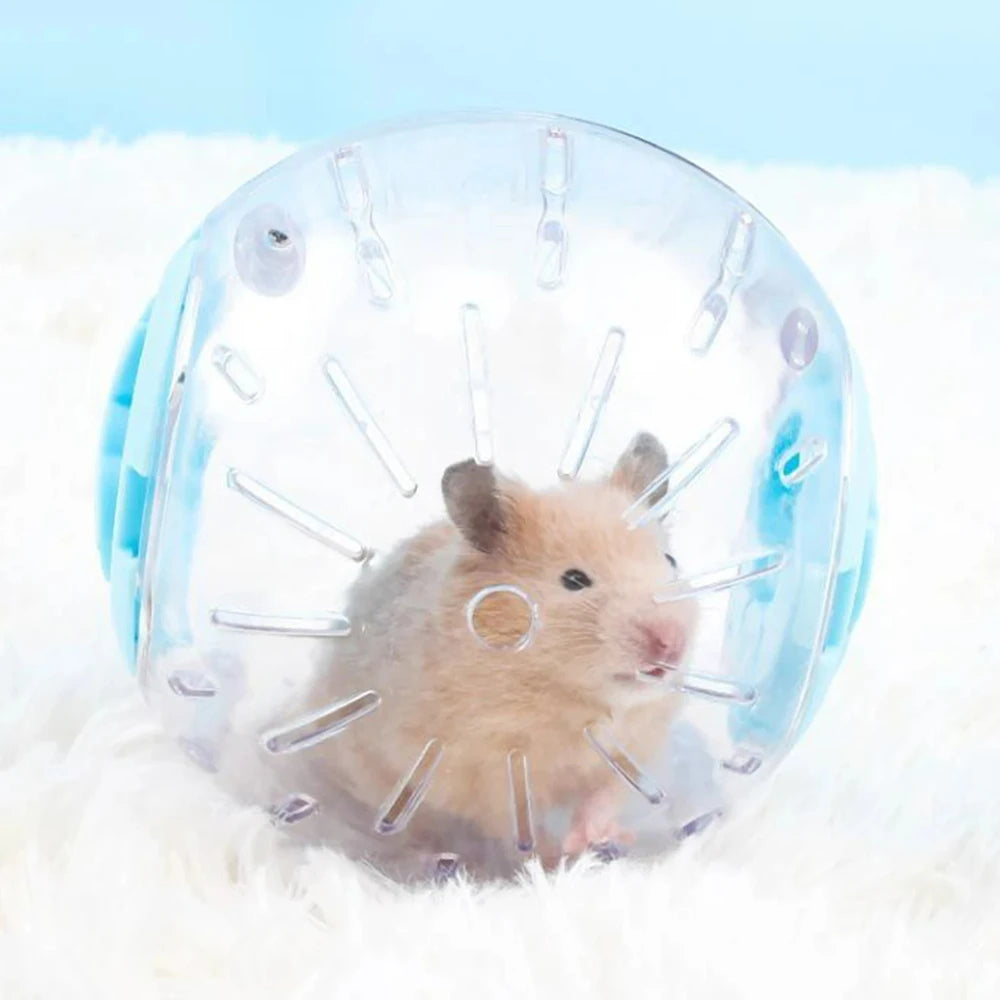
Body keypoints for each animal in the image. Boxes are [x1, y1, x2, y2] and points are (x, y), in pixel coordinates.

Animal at [308, 431, 698, 867]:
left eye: (670, 561)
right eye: (574, 580)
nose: (671, 645)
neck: (569, 696)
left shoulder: (631, 746)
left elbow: (603, 797)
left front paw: (596, 841)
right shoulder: (485, 768)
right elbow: (518, 823)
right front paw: (555, 859)